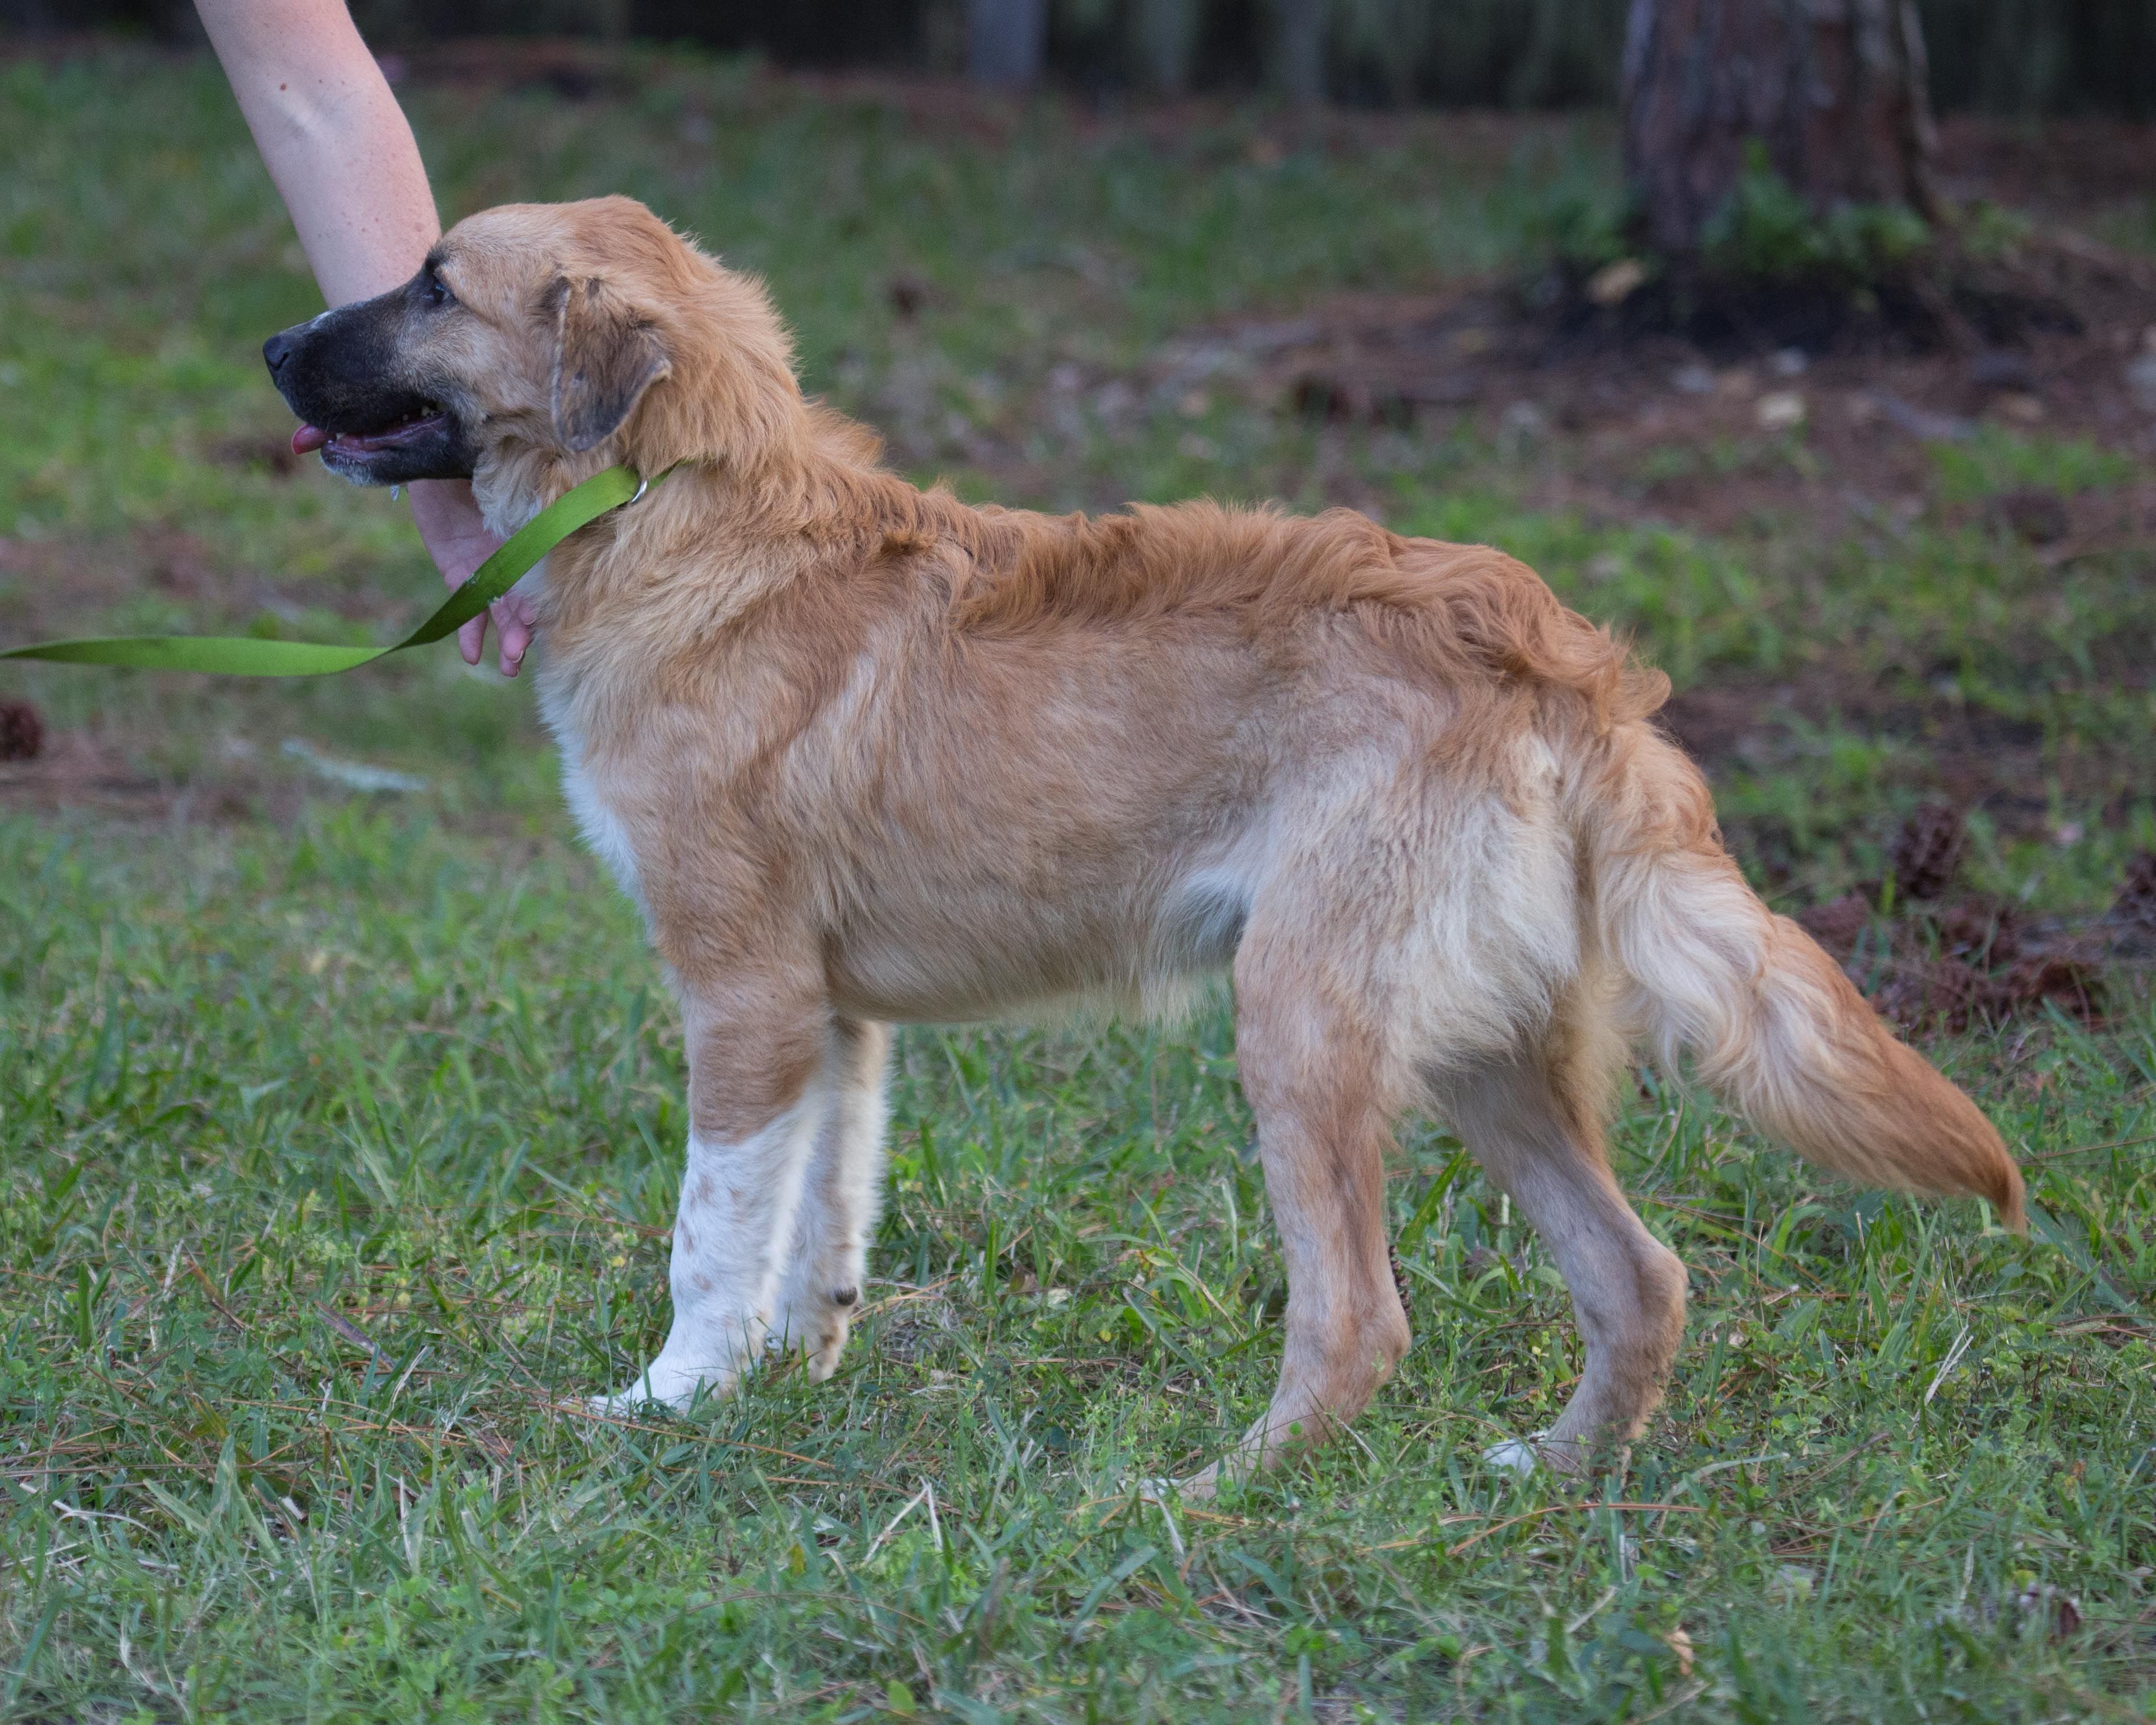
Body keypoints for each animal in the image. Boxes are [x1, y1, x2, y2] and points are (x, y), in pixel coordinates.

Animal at [261, 198, 2027, 1483]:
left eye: (432, 284)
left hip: (1300, 1027)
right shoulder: (834, 1017)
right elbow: (817, 1227)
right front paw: (786, 1380)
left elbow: (711, 1236)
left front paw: (670, 1400)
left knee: (1360, 1316)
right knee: (1637, 1274)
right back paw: (1553, 1471)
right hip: (1485, 1050)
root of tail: (1545, 649)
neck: (688, 513)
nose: (274, 342)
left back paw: (1210, 1494)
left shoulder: (742, 996)